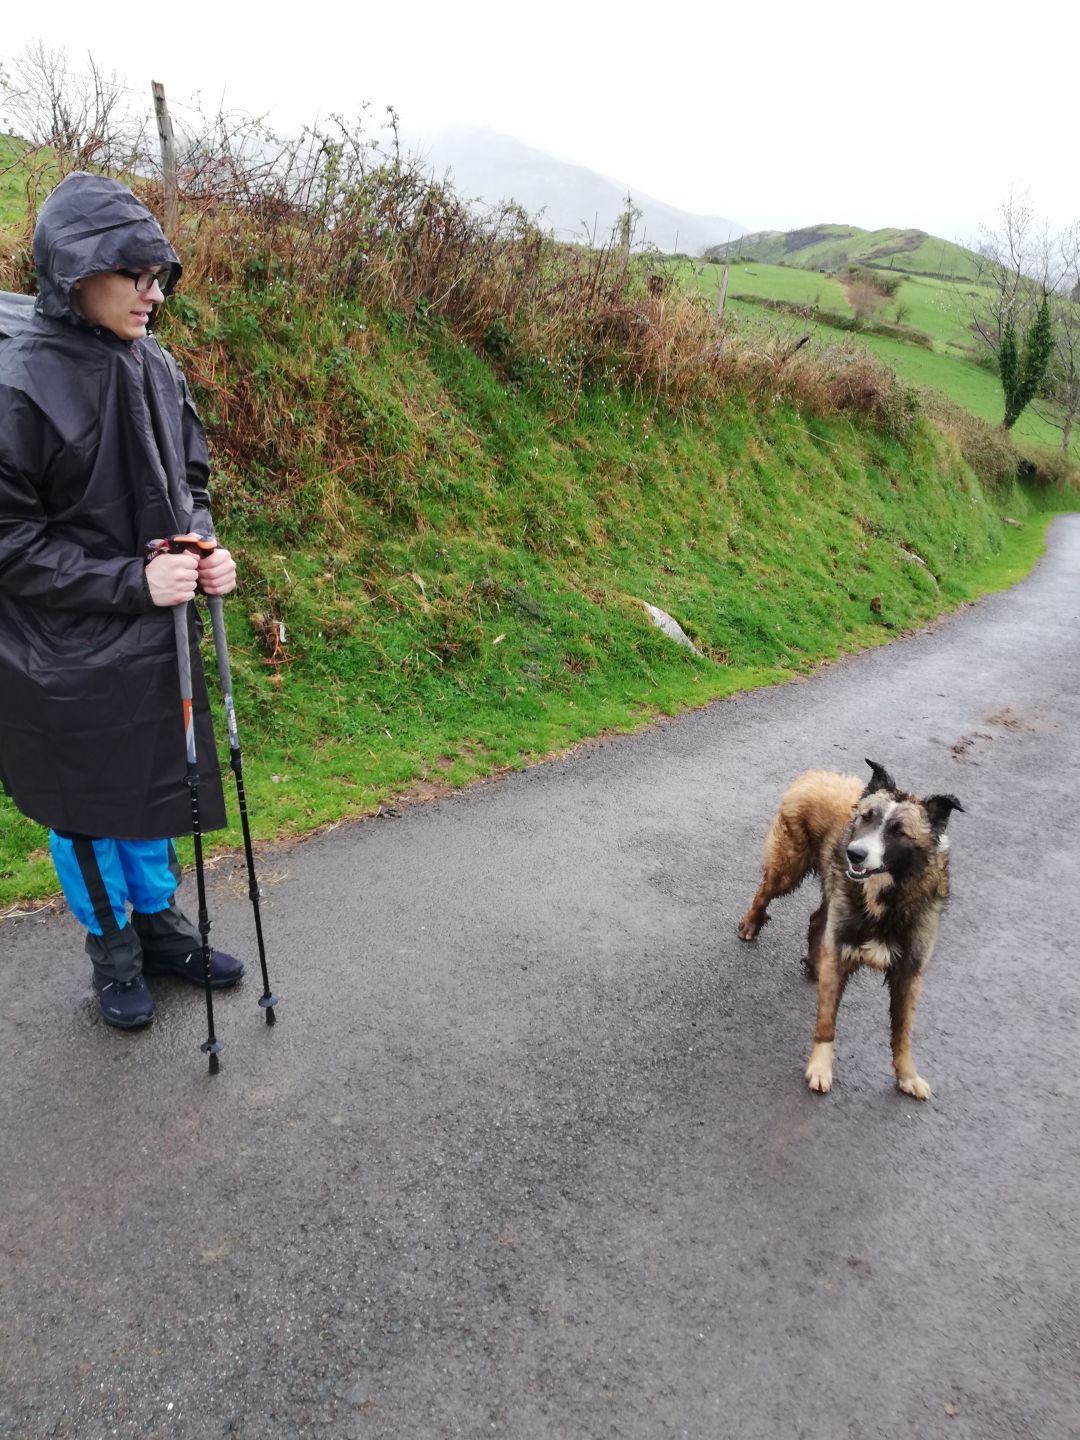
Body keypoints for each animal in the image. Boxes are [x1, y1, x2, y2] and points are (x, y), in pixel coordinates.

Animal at [737, 759, 963, 1099]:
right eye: (866, 818)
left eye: (899, 831)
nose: (854, 854)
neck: (886, 897)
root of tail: (818, 774)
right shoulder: (841, 950)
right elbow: (826, 1023)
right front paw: (820, 1068)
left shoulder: (909, 972)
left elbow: (902, 1033)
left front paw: (908, 1075)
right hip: (789, 866)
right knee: (764, 892)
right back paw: (751, 924)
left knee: (817, 919)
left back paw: (814, 963)